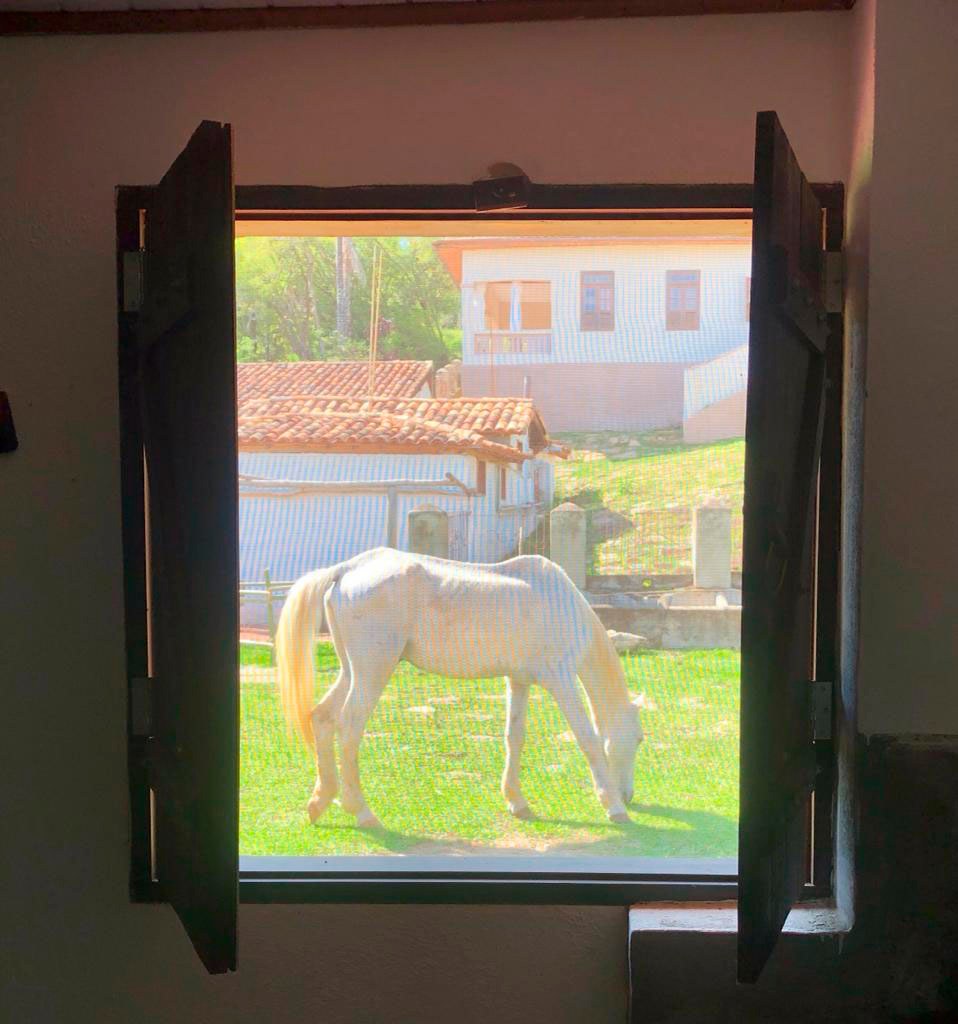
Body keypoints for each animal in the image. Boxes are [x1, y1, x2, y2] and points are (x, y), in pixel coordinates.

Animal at [275, 547, 643, 829]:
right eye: (639, 739)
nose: (629, 796)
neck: (560, 603)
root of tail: (348, 569)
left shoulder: (519, 681)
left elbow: (515, 738)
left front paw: (517, 801)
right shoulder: (562, 680)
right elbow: (589, 741)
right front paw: (613, 807)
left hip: (352, 672)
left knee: (322, 718)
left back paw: (320, 802)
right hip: (371, 673)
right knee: (349, 729)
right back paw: (363, 812)